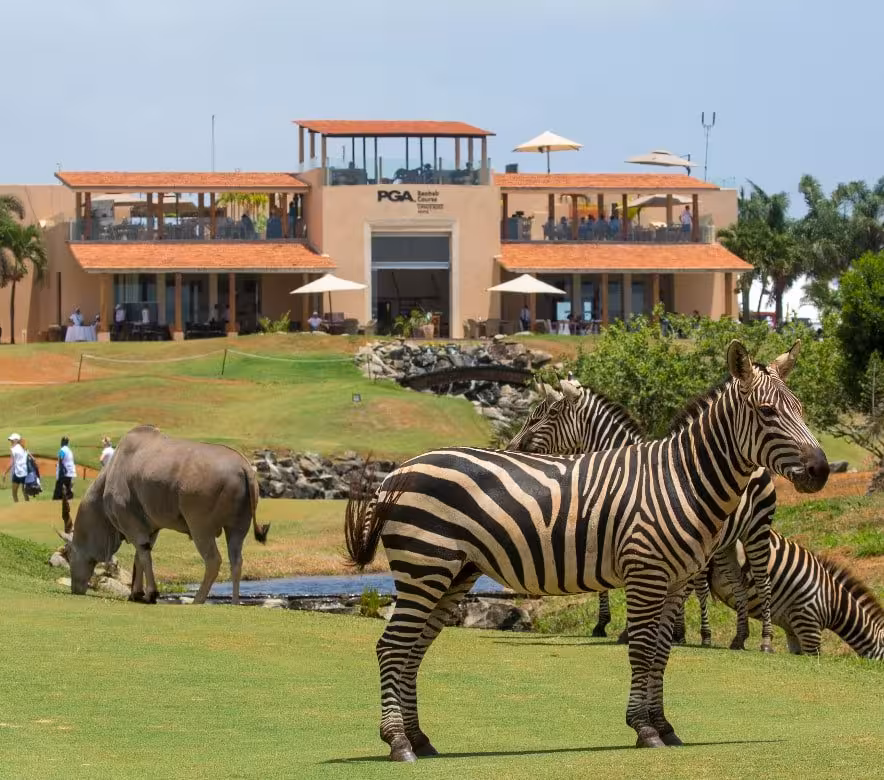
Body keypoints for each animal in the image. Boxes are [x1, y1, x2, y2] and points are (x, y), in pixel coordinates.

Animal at [507, 379, 778, 652]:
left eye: (549, 414)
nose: (513, 446)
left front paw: (626, 630)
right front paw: (608, 625)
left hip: (757, 529)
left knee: (763, 582)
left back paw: (763, 641)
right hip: (727, 544)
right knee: (737, 583)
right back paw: (738, 637)